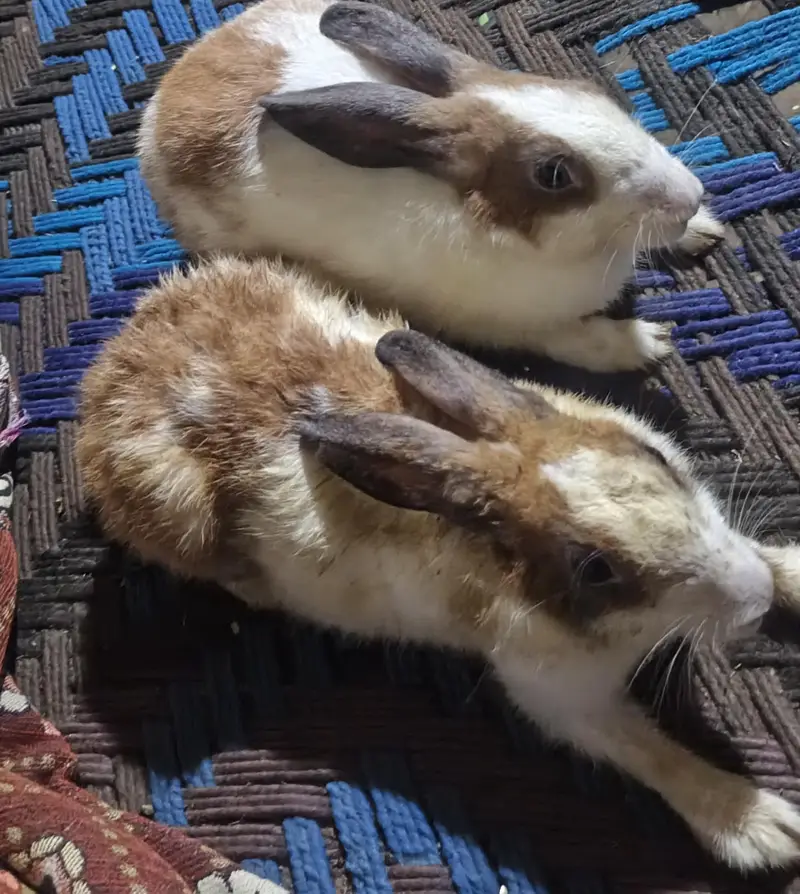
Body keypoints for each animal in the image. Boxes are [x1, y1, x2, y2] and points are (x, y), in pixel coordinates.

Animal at [78, 255, 800, 873]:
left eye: (654, 457)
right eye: (595, 568)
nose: (753, 599)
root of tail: (111, 366)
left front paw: (786, 573)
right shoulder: (561, 697)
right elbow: (649, 752)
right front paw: (761, 827)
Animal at [136, 0, 725, 375]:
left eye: (587, 89)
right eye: (553, 175)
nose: (690, 194)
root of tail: (162, 103)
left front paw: (704, 230)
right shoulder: (516, 328)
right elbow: (579, 342)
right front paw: (648, 344)